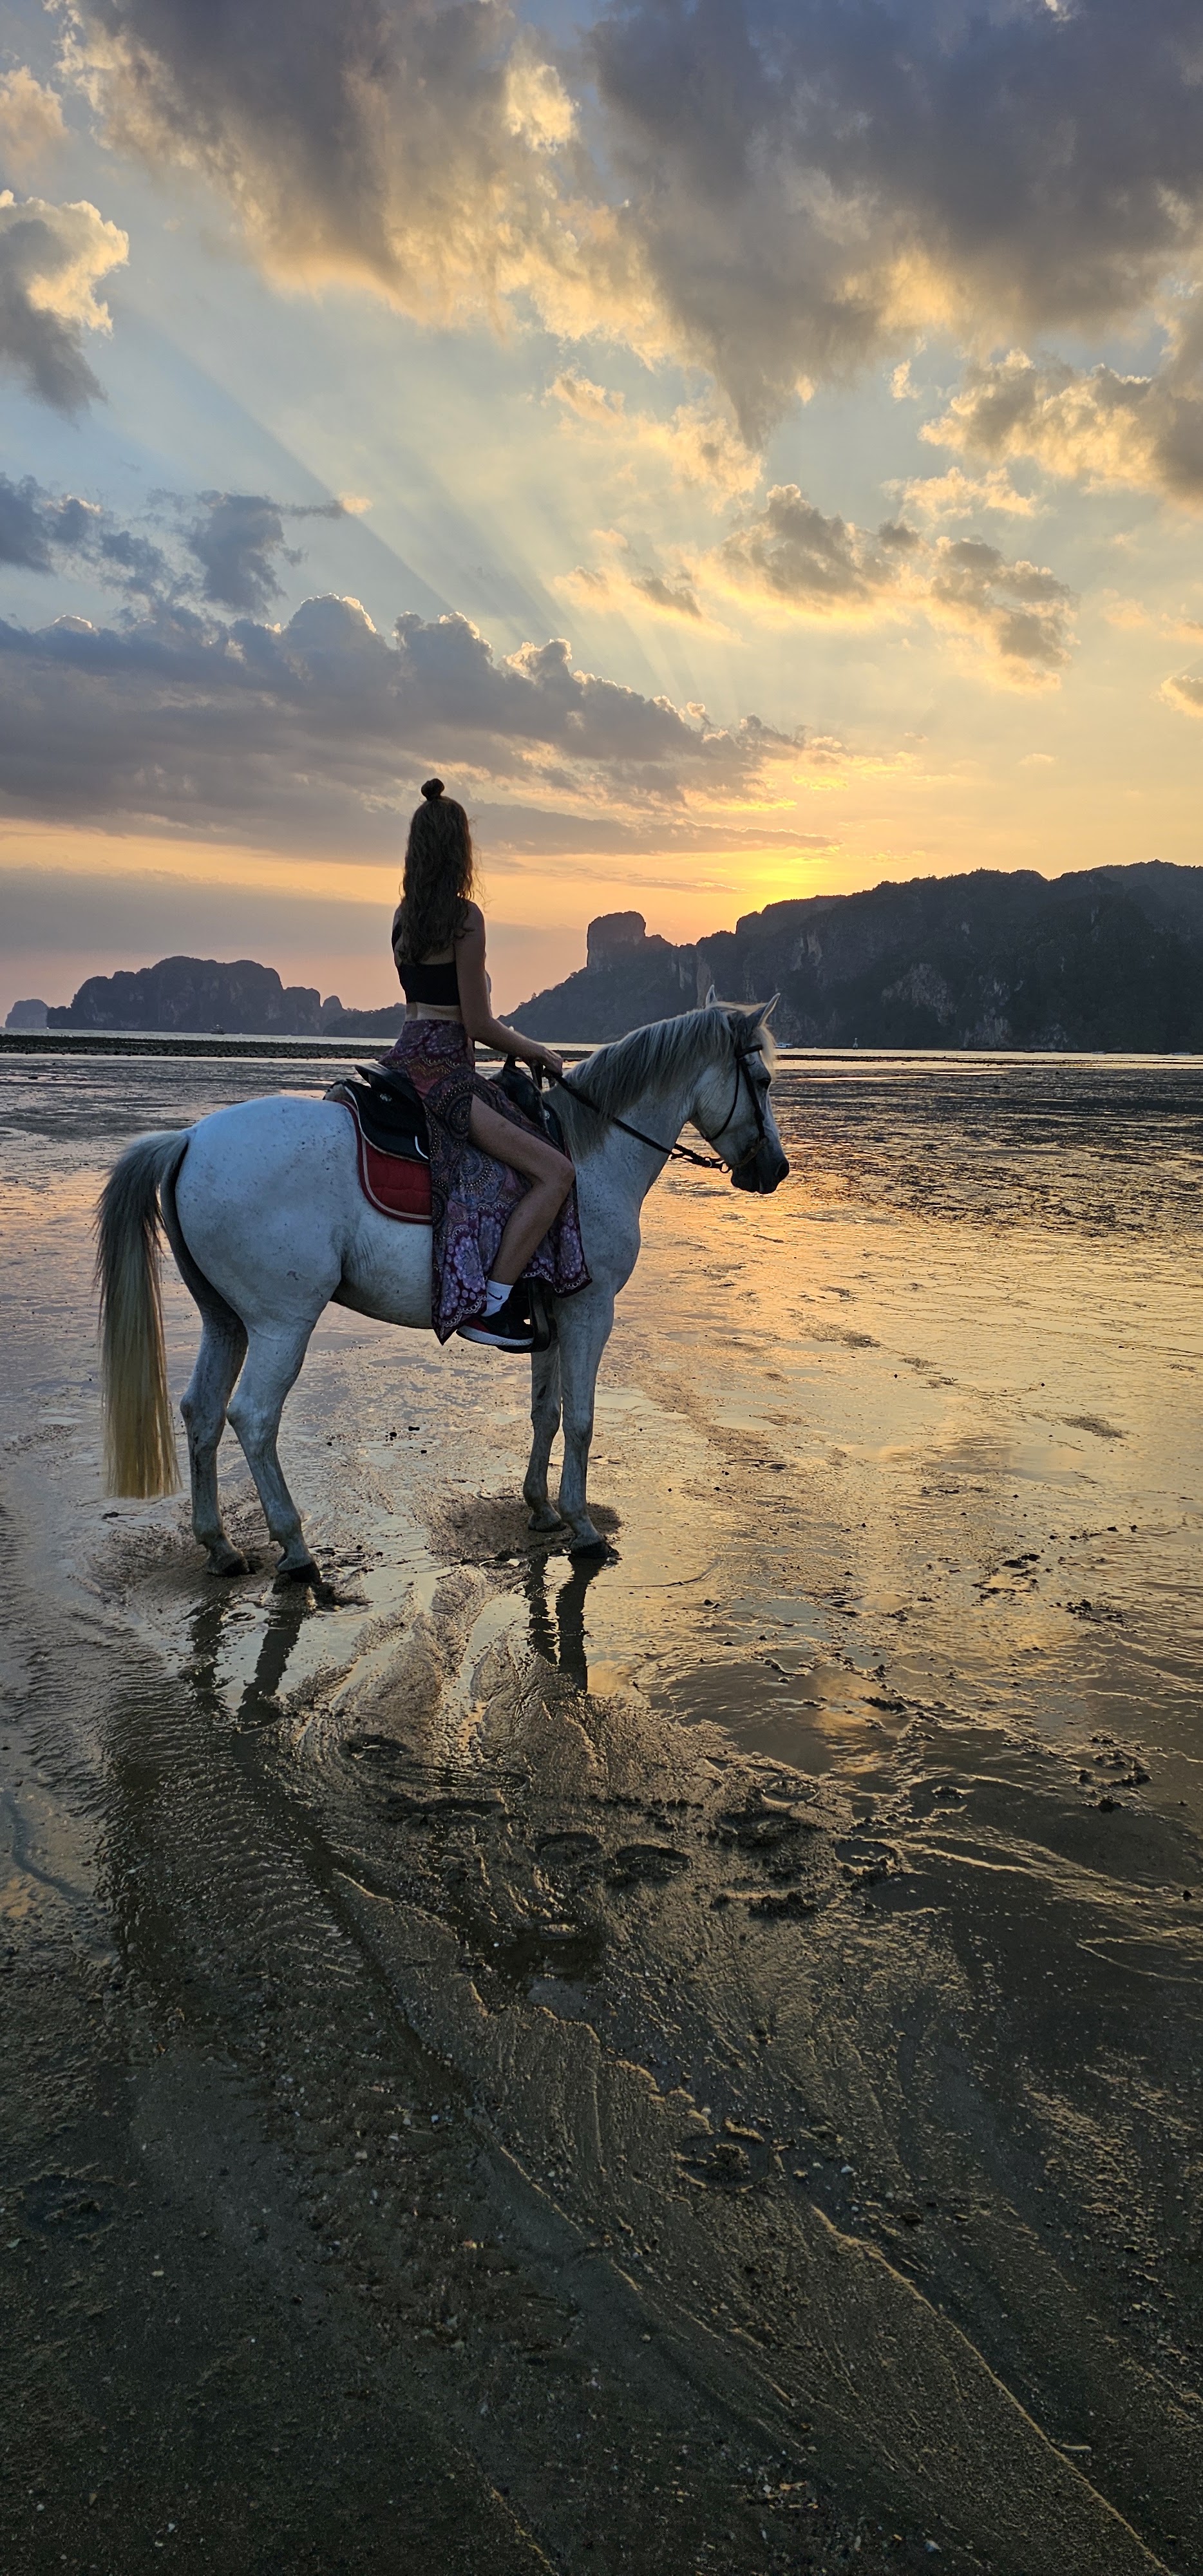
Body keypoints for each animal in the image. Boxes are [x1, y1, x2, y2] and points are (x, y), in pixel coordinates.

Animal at [95, 1002, 788, 1576]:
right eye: (761, 1081)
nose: (775, 1170)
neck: (591, 1157)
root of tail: (189, 1139)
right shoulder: (590, 1309)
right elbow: (584, 1419)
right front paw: (582, 1524)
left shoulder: (550, 1317)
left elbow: (547, 1412)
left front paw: (540, 1508)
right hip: (281, 1323)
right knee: (253, 1416)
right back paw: (294, 1548)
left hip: (226, 1320)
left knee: (203, 1411)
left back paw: (219, 1545)